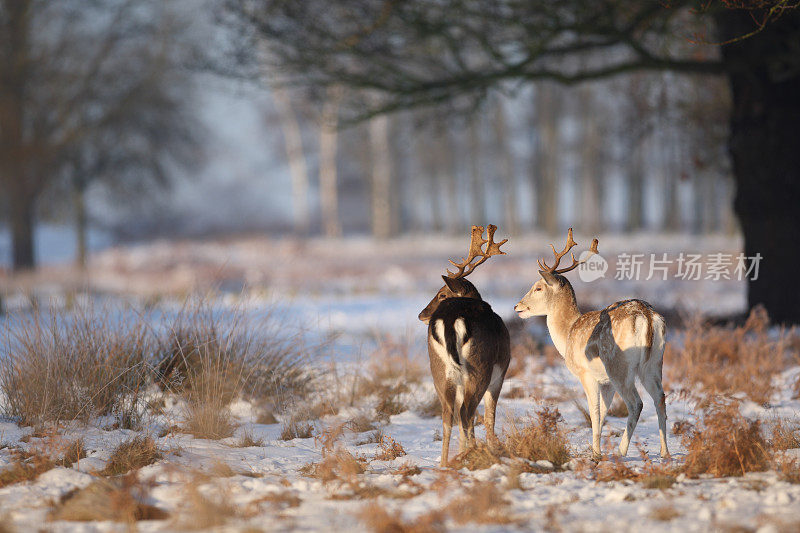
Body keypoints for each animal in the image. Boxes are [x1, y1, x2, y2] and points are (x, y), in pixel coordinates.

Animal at [422, 222, 510, 464]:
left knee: (448, 415)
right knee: (466, 413)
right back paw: (474, 454)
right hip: (480, 367)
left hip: (438, 370)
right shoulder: (501, 372)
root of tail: (450, 320)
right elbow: (489, 417)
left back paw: (445, 464)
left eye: (441, 294)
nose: (421, 314)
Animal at [516, 231, 664, 460]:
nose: (518, 306)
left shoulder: (586, 374)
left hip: (619, 367)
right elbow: (603, 413)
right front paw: (596, 449)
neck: (568, 333)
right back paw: (665, 453)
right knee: (660, 398)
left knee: (636, 403)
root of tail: (646, 316)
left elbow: (594, 412)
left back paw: (621, 452)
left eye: (538, 287)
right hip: (654, 364)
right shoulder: (606, 382)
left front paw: (596, 454)